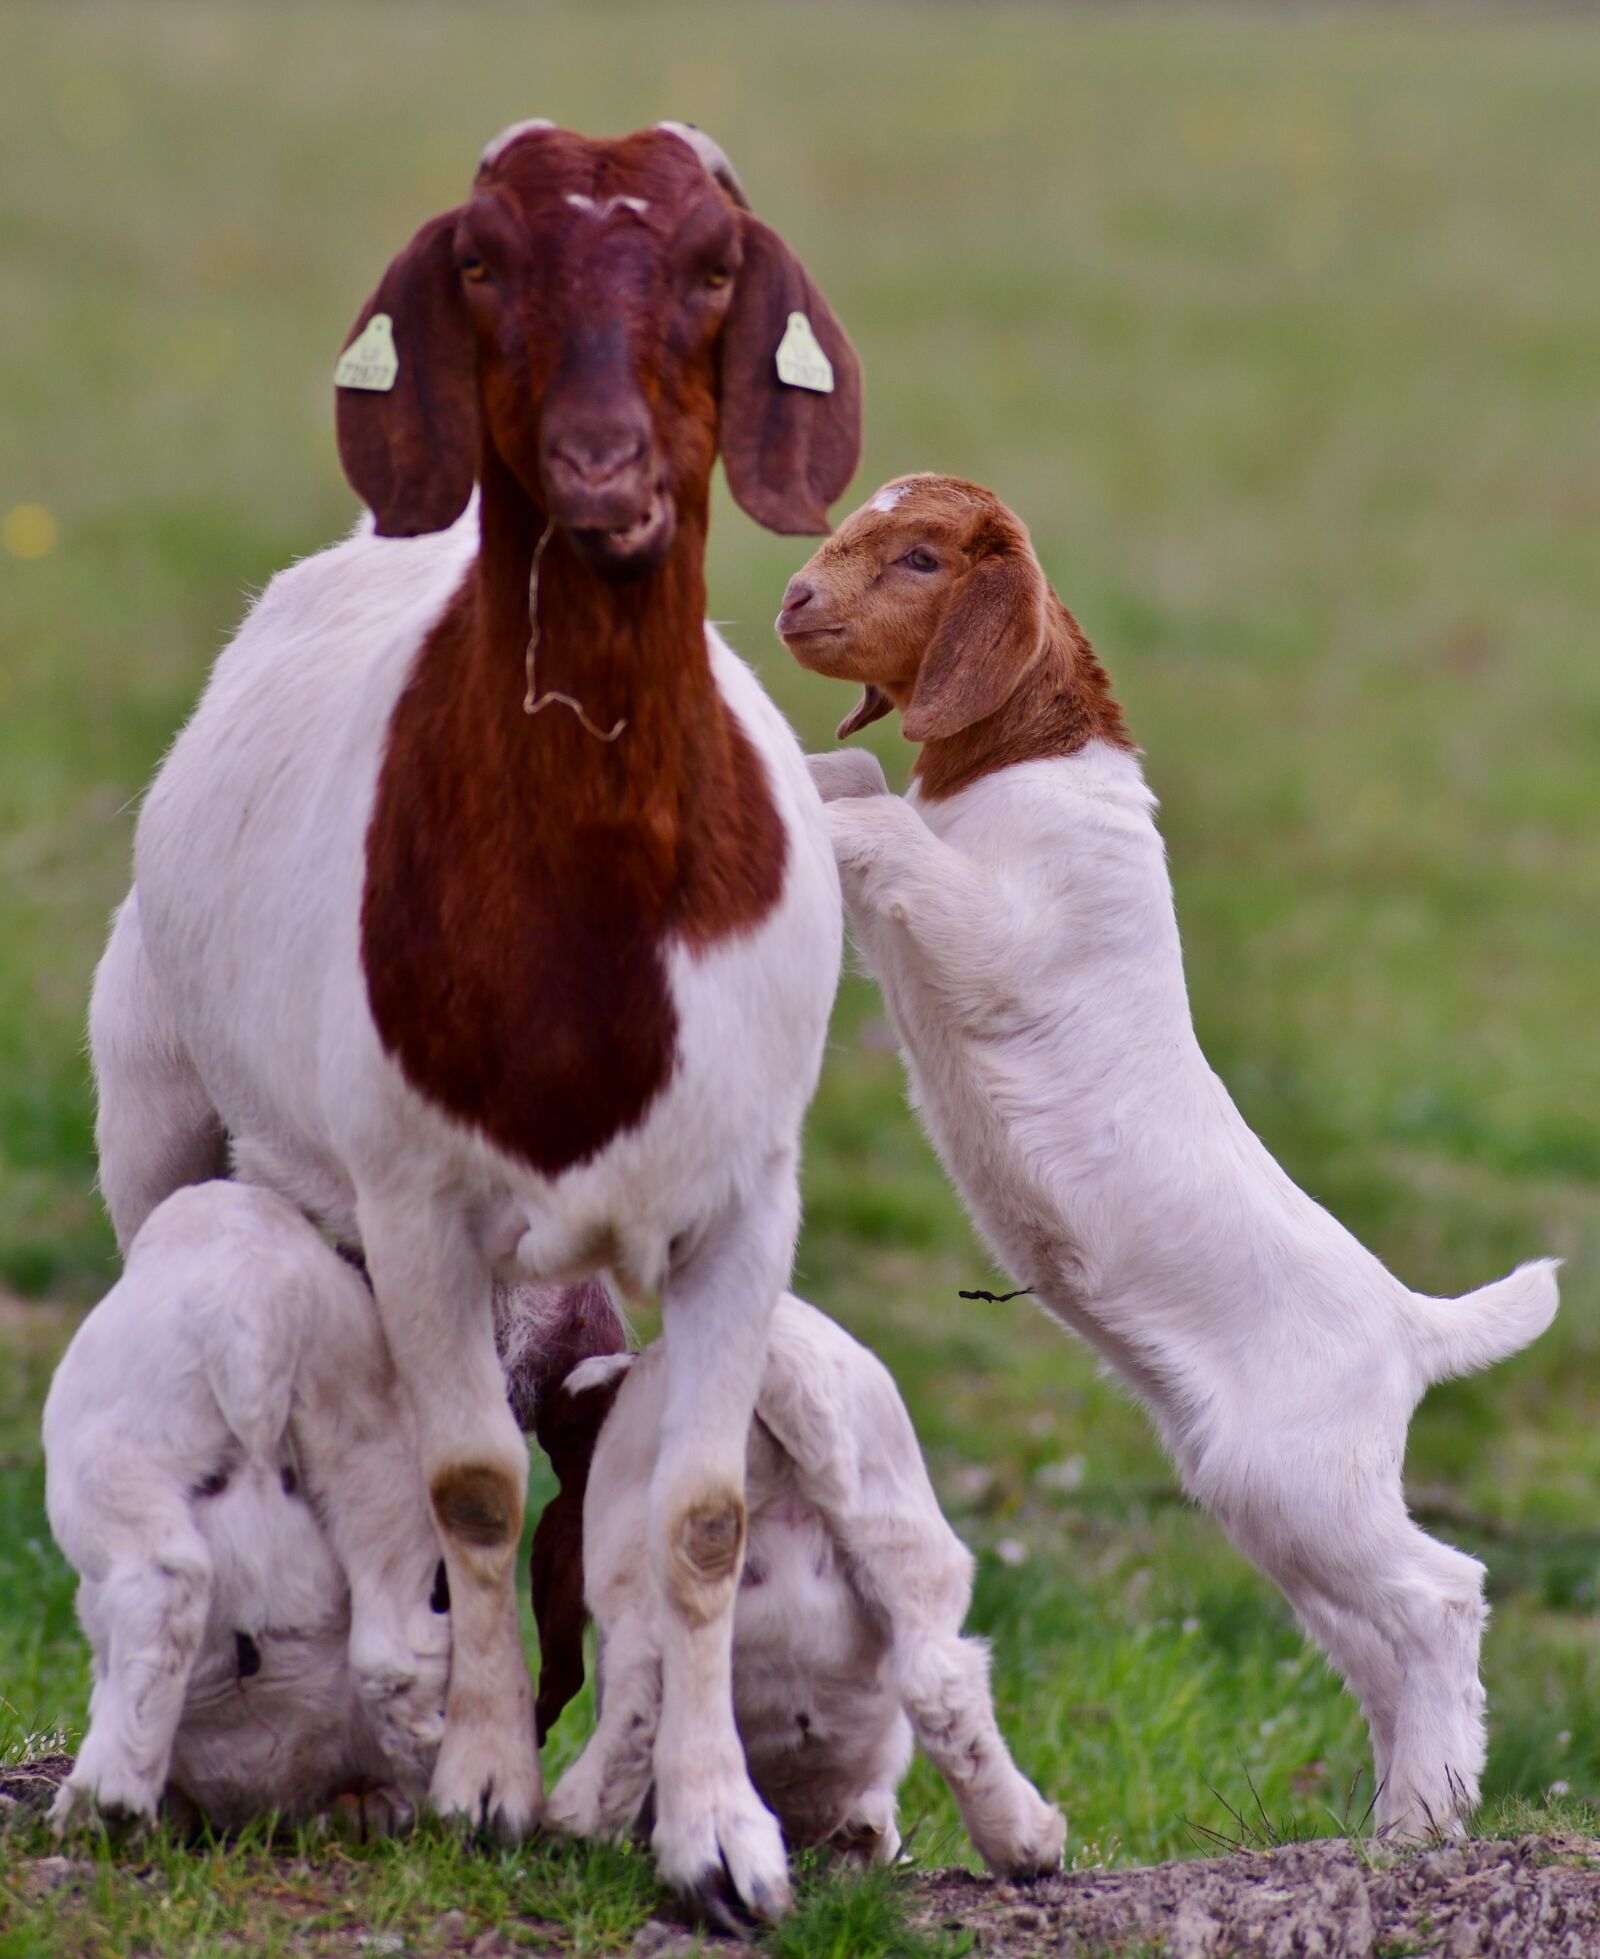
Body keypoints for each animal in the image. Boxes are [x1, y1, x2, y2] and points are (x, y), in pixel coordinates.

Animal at [86, 122, 859, 1917]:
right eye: (485, 263)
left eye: (715, 264)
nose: (602, 470)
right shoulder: (414, 1198)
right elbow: (475, 1481)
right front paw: (488, 1781)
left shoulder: (749, 1195)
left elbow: (702, 1510)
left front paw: (717, 1832)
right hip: (158, 1115)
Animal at [530, 1294, 1065, 1895]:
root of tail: (775, 1361)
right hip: (904, 1529)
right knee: (940, 1682)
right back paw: (1025, 1844)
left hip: (641, 1539)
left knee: (639, 1691)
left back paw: (578, 1825)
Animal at [778, 473, 1560, 1839]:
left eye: (921, 556)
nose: (792, 600)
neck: (1026, 763)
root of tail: (1411, 1325)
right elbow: (858, 768)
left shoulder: (996, 932)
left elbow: (881, 818)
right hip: (1270, 1502)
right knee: (1380, 1643)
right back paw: (1409, 1804)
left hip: (1298, 1479)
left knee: (1440, 1597)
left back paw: (1415, 1824)